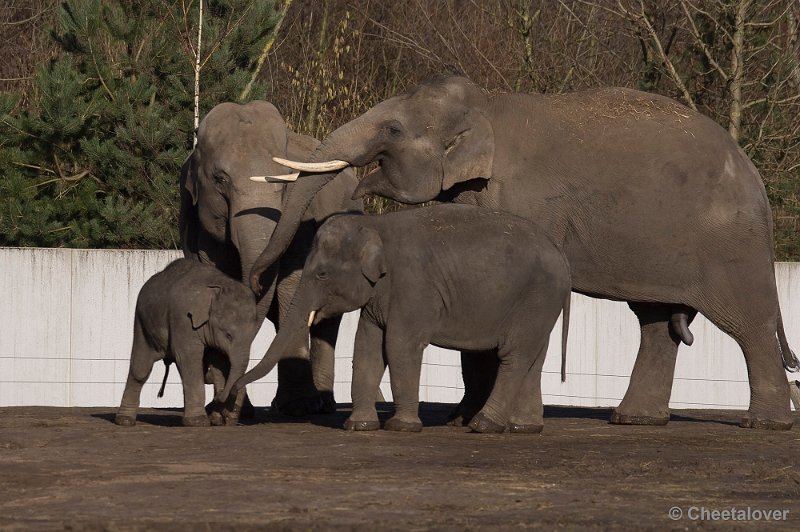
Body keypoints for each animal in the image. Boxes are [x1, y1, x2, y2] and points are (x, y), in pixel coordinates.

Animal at [115, 258, 258, 428]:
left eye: (253, 336)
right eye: (228, 335)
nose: (218, 396)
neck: (216, 287)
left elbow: (218, 362)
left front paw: (219, 419)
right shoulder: (182, 318)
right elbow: (188, 358)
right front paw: (198, 422)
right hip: (141, 321)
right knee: (141, 369)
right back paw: (125, 421)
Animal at [180, 100, 362, 416]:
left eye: (287, 183)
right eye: (220, 180)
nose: (253, 280)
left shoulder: (304, 220)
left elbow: (292, 284)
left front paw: (299, 407)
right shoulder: (198, 227)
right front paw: (229, 409)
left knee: (326, 321)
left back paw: (320, 404)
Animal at [234, 204, 572, 432]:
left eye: (322, 274)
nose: (232, 393)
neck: (375, 225)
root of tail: (562, 258)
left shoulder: (413, 285)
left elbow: (399, 345)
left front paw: (401, 427)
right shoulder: (379, 297)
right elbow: (366, 347)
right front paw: (358, 426)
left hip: (535, 298)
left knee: (514, 356)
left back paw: (483, 425)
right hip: (540, 304)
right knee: (533, 358)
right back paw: (523, 428)